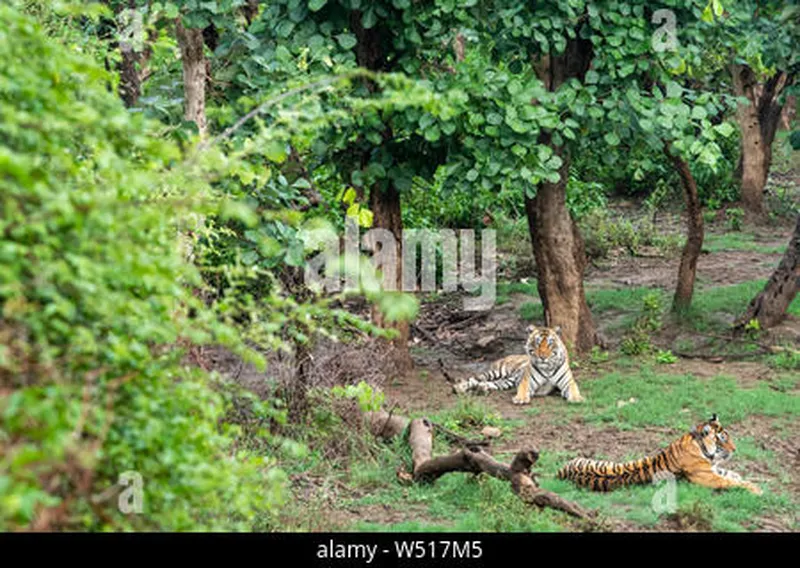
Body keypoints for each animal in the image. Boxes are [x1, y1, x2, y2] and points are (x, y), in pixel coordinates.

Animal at [450, 324, 588, 404]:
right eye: (537, 343)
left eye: (550, 343)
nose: (543, 357)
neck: (547, 368)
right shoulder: (527, 381)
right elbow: (523, 388)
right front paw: (520, 398)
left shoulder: (568, 382)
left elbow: (574, 389)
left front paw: (577, 398)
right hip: (497, 371)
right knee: (474, 379)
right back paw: (459, 388)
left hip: (507, 381)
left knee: (490, 383)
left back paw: (482, 388)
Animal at [556, 412, 764, 496]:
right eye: (722, 439)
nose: (735, 449)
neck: (699, 445)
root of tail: (560, 472)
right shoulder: (708, 477)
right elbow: (731, 481)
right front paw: (756, 489)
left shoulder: (713, 469)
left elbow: (732, 474)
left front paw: (746, 479)